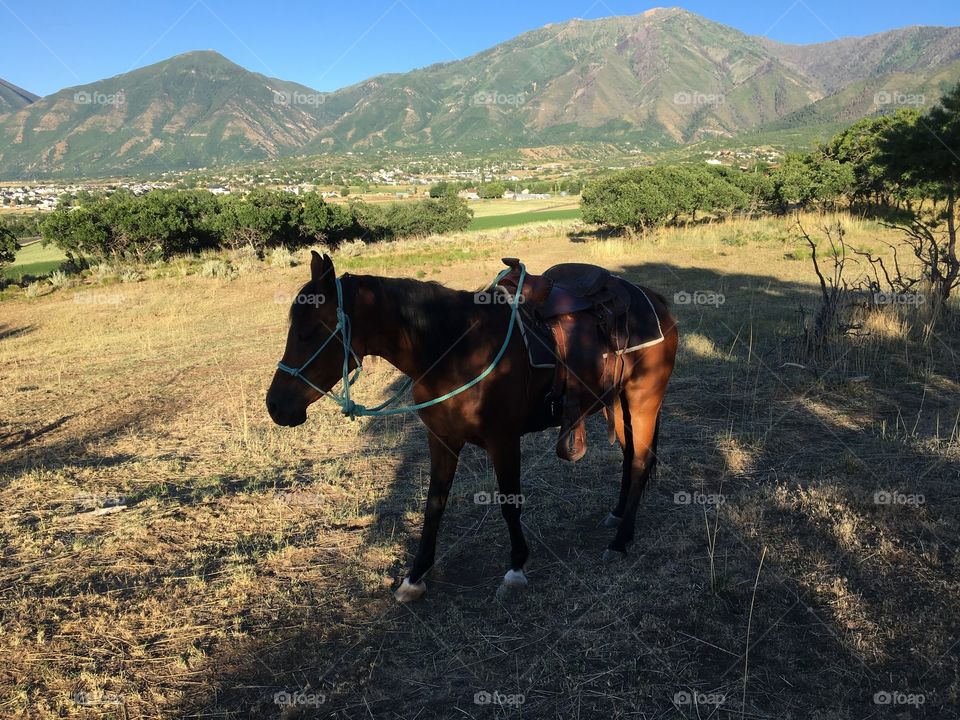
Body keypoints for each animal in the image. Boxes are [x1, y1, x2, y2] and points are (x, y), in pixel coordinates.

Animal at [266, 252, 678, 602]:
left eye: (308, 333)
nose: (275, 406)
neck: (454, 349)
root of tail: (653, 299)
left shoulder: (503, 441)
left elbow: (509, 502)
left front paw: (516, 569)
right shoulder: (442, 440)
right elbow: (434, 505)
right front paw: (415, 577)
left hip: (643, 401)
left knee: (639, 462)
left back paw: (620, 541)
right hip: (620, 404)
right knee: (630, 458)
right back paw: (618, 515)